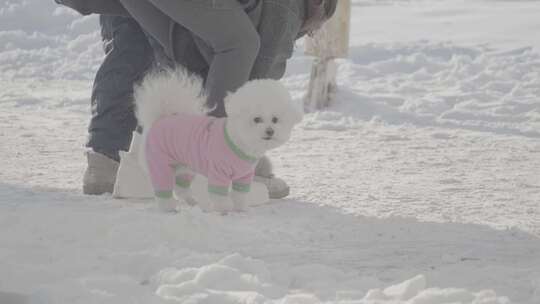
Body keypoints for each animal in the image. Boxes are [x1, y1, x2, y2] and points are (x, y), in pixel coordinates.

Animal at [133, 69, 302, 213]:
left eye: (275, 120)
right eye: (257, 119)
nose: (270, 131)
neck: (239, 142)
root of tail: (160, 118)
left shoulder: (244, 176)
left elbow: (240, 195)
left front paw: (241, 209)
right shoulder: (218, 172)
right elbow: (219, 195)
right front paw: (224, 209)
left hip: (184, 166)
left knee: (181, 188)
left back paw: (192, 202)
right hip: (160, 164)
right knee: (164, 191)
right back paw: (169, 209)